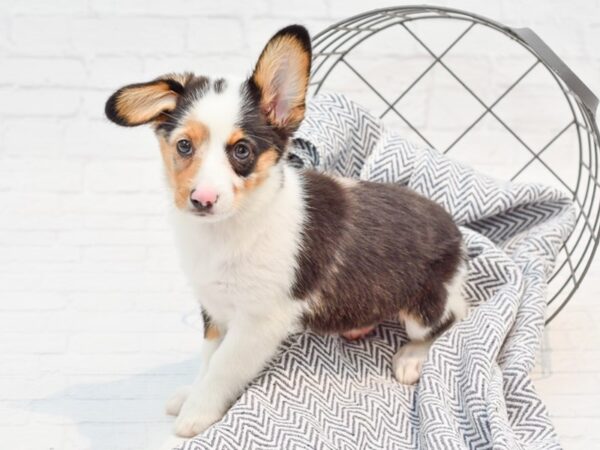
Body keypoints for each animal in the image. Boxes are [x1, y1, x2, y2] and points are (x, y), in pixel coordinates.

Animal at [105, 23, 466, 436]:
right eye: (183, 146)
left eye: (241, 151)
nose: (202, 200)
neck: (228, 230)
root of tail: (457, 236)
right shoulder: (214, 310)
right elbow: (208, 359)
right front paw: (190, 394)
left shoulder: (258, 322)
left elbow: (222, 368)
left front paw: (196, 412)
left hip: (425, 307)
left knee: (453, 319)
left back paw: (412, 357)